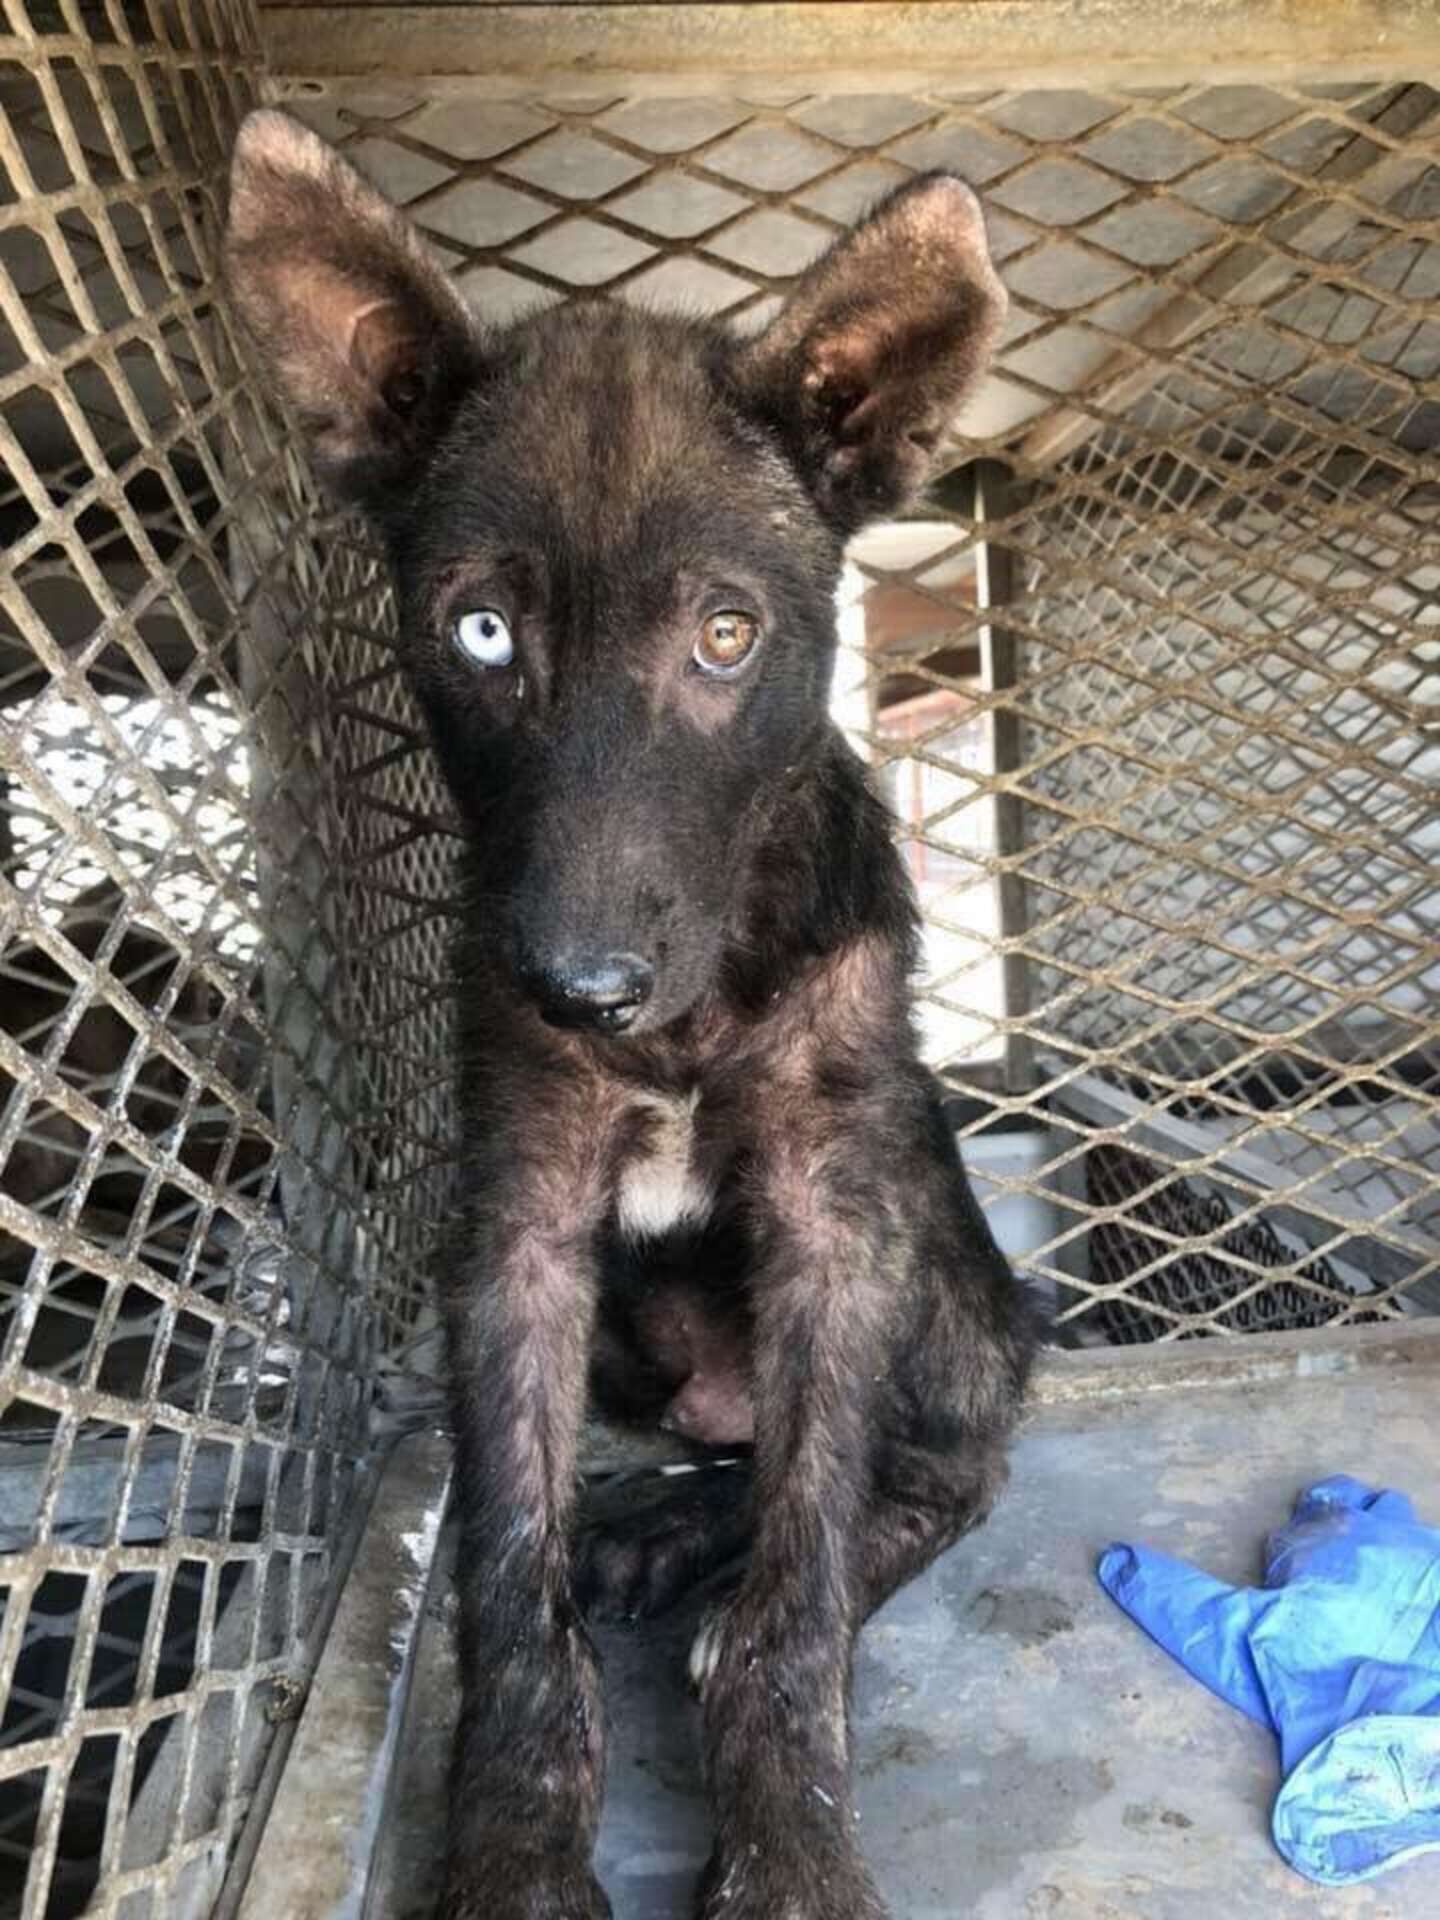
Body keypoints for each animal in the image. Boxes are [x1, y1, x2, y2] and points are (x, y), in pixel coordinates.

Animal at [225, 120, 1029, 1920]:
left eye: (726, 635)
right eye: (480, 629)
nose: (580, 991)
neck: (688, 1017)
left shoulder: (834, 1216)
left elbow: (807, 1567)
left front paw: (792, 1838)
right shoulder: (513, 1227)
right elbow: (508, 1571)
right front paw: (518, 1847)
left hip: (941, 1259)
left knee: (935, 1459)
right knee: (729, 1457)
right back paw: (661, 1525)